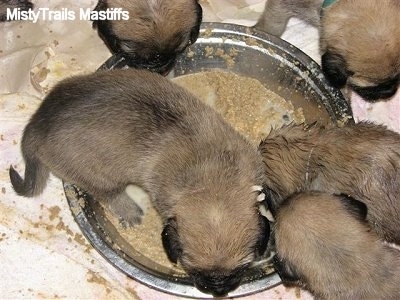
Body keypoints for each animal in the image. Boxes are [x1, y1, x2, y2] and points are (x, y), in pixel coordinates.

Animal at [9, 68, 270, 296]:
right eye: (193, 268)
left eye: (239, 268)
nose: (218, 291)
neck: (212, 180)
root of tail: (37, 124)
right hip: (99, 177)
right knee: (110, 194)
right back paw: (130, 211)